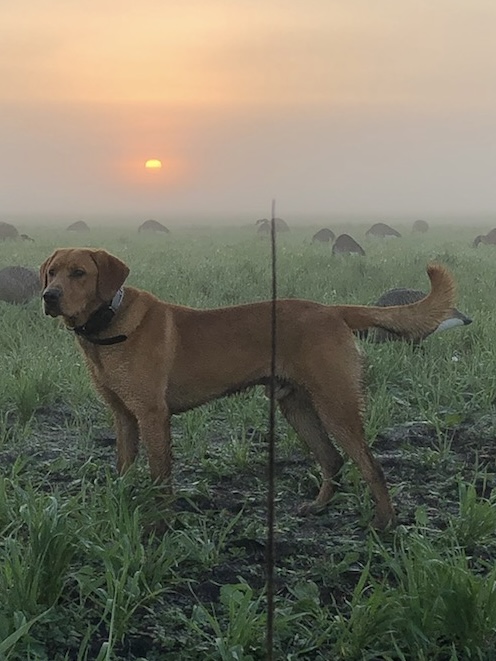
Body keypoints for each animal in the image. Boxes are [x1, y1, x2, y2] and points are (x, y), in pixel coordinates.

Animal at [40, 248, 456, 524]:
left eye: (79, 273)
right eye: (52, 272)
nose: (49, 296)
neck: (107, 326)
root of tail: (332, 311)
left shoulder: (153, 416)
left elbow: (161, 478)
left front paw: (160, 523)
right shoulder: (124, 418)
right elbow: (124, 469)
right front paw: (124, 504)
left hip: (335, 404)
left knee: (371, 466)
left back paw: (386, 525)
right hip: (297, 406)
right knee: (333, 460)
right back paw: (318, 507)